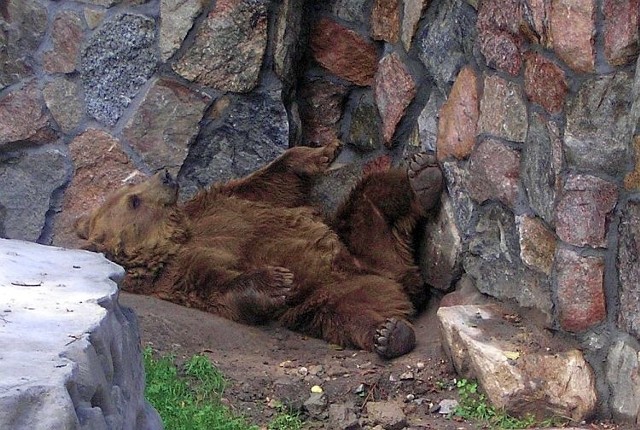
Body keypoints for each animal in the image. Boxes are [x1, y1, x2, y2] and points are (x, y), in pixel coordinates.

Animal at [75, 142, 442, 360]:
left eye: (133, 187)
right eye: (134, 200)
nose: (165, 175)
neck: (175, 238)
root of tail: (396, 281)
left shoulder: (216, 205)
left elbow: (266, 184)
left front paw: (319, 151)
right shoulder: (177, 274)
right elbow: (219, 287)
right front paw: (275, 282)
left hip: (358, 244)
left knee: (372, 197)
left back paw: (423, 176)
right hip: (328, 296)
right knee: (344, 314)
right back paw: (389, 334)